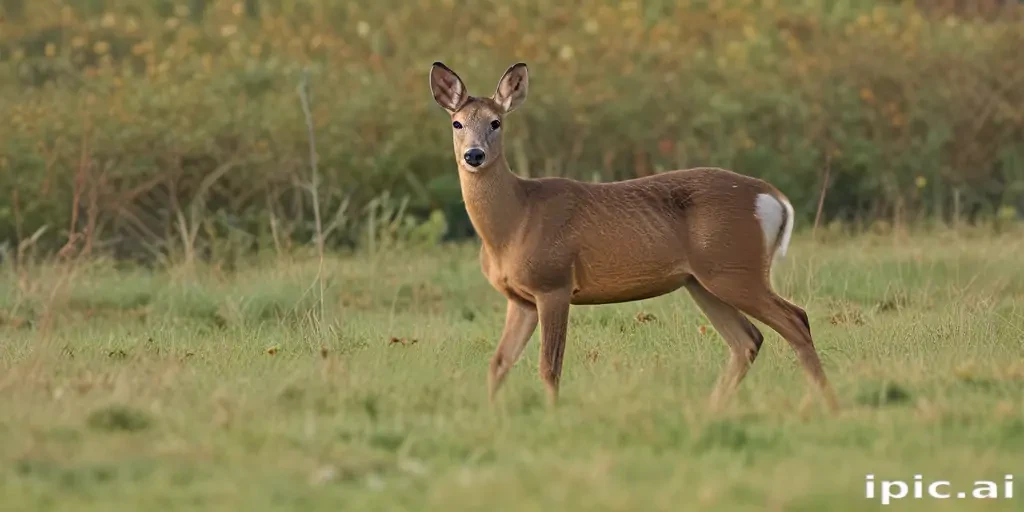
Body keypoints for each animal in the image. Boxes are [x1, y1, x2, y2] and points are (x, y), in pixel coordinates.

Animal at [428, 61, 840, 413]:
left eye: (496, 122)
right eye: (457, 123)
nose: (474, 155)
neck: (515, 221)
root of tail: (772, 197)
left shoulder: (554, 283)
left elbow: (550, 366)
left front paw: (553, 416)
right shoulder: (522, 298)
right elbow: (499, 362)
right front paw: (491, 415)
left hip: (736, 268)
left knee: (796, 319)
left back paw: (825, 405)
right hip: (703, 281)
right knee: (748, 340)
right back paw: (712, 408)